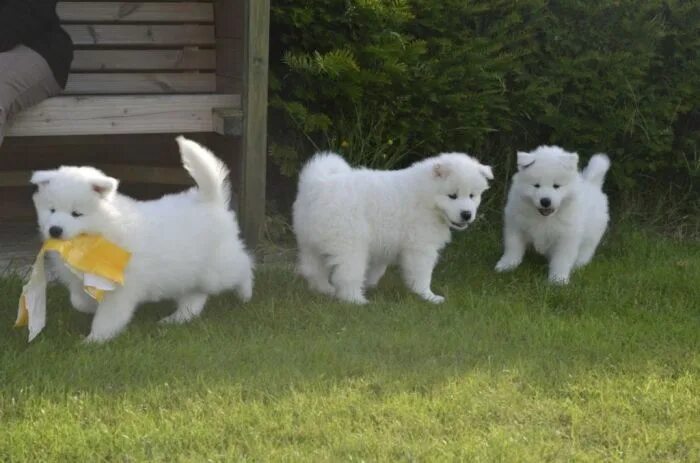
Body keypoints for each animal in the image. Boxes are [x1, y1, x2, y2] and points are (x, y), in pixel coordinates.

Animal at [31, 136, 254, 342]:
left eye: (76, 213)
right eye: (51, 210)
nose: (55, 230)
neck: (94, 239)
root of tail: (210, 201)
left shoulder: (120, 289)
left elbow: (108, 317)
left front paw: (95, 339)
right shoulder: (80, 280)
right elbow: (77, 300)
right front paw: (89, 308)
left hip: (218, 267)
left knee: (243, 265)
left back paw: (246, 292)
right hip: (187, 272)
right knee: (194, 296)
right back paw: (177, 318)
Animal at [292, 152, 494, 304]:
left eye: (472, 195)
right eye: (452, 196)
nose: (467, 214)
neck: (426, 196)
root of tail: (316, 185)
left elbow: (378, 268)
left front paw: (371, 283)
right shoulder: (421, 246)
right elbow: (422, 273)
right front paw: (428, 296)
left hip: (310, 242)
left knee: (314, 269)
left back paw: (324, 290)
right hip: (349, 243)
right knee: (346, 274)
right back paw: (356, 300)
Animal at [494, 146, 608, 282]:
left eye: (556, 186)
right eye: (536, 185)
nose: (545, 201)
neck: (545, 218)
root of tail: (593, 184)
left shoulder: (567, 236)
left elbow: (561, 259)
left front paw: (558, 279)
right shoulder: (516, 226)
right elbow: (512, 248)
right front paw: (506, 266)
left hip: (592, 235)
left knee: (586, 251)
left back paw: (578, 266)